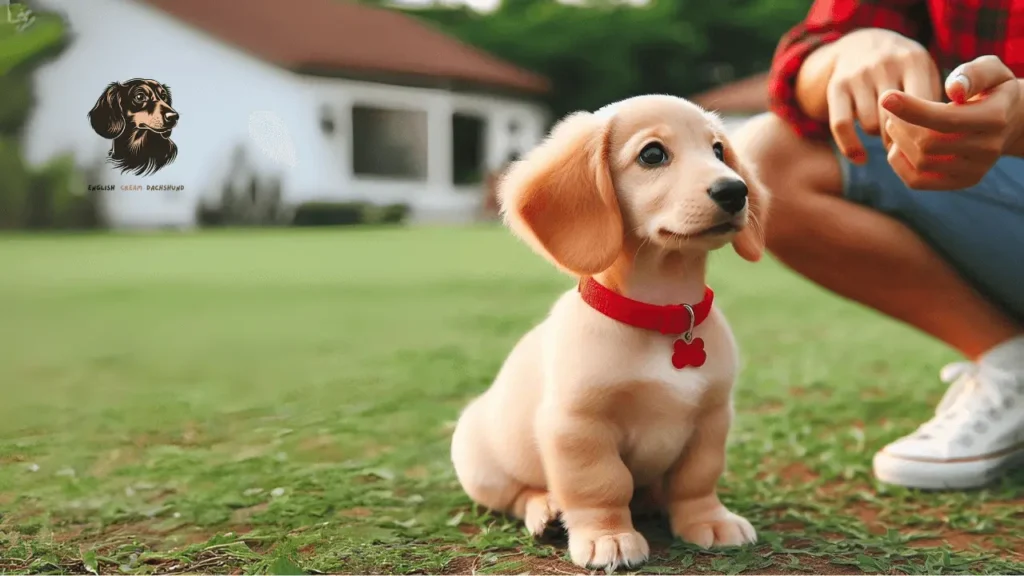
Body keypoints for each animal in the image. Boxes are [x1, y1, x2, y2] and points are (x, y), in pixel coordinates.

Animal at [452, 91, 770, 565]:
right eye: (652, 154)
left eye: (718, 151)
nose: (735, 190)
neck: (662, 314)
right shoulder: (579, 426)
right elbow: (602, 484)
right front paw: (609, 536)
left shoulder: (712, 418)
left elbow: (696, 479)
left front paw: (708, 520)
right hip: (481, 466)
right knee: (517, 495)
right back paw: (546, 510)